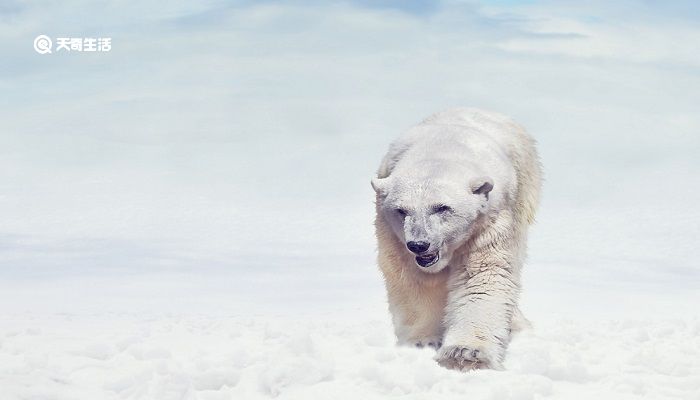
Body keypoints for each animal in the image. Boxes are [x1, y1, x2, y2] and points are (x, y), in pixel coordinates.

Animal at [372, 108, 540, 370]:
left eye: (442, 207)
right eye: (401, 210)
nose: (419, 244)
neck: (442, 149)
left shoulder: (490, 220)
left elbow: (482, 276)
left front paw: (466, 354)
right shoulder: (391, 232)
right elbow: (416, 280)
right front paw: (422, 342)